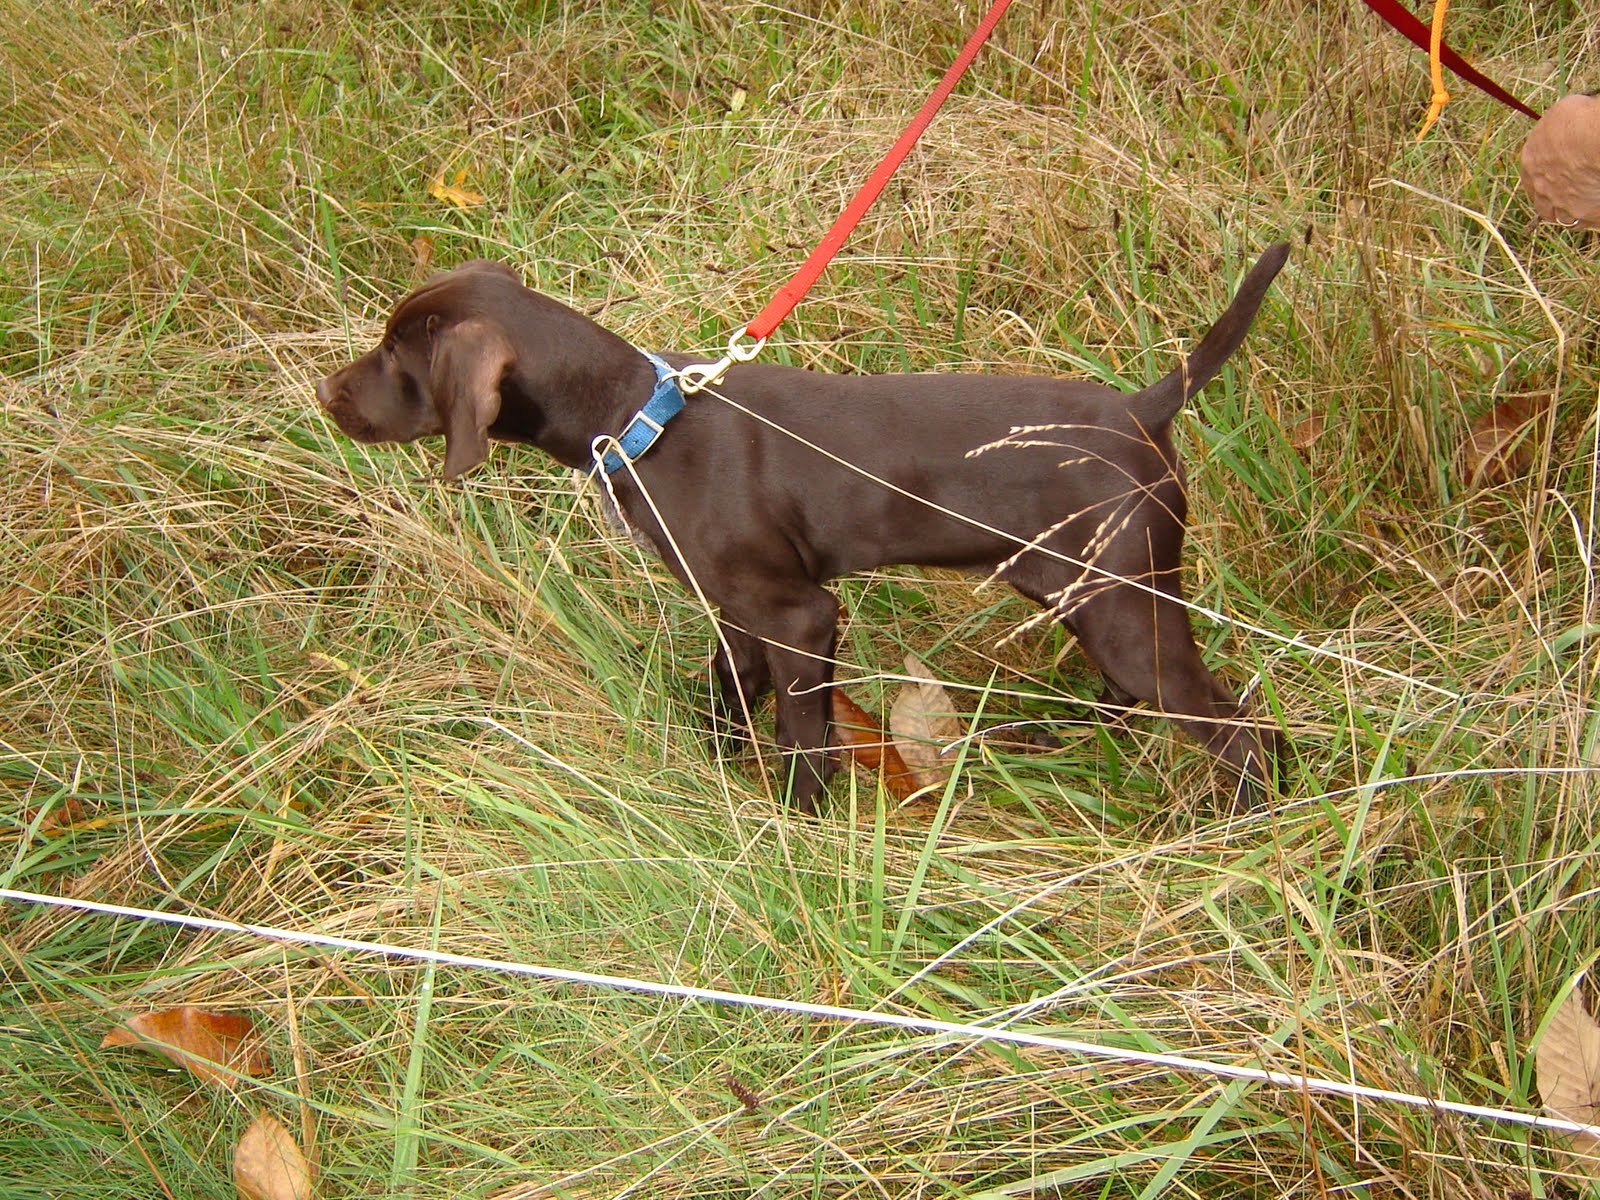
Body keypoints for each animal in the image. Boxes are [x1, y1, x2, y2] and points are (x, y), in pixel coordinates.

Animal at [317, 245, 1289, 813]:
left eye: (395, 358)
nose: (325, 394)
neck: (642, 417)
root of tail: (1142, 411)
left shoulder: (799, 615)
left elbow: (802, 735)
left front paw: (797, 824)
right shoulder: (737, 611)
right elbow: (730, 695)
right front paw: (719, 777)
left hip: (1122, 601)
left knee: (1238, 728)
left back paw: (1242, 821)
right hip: (1080, 590)